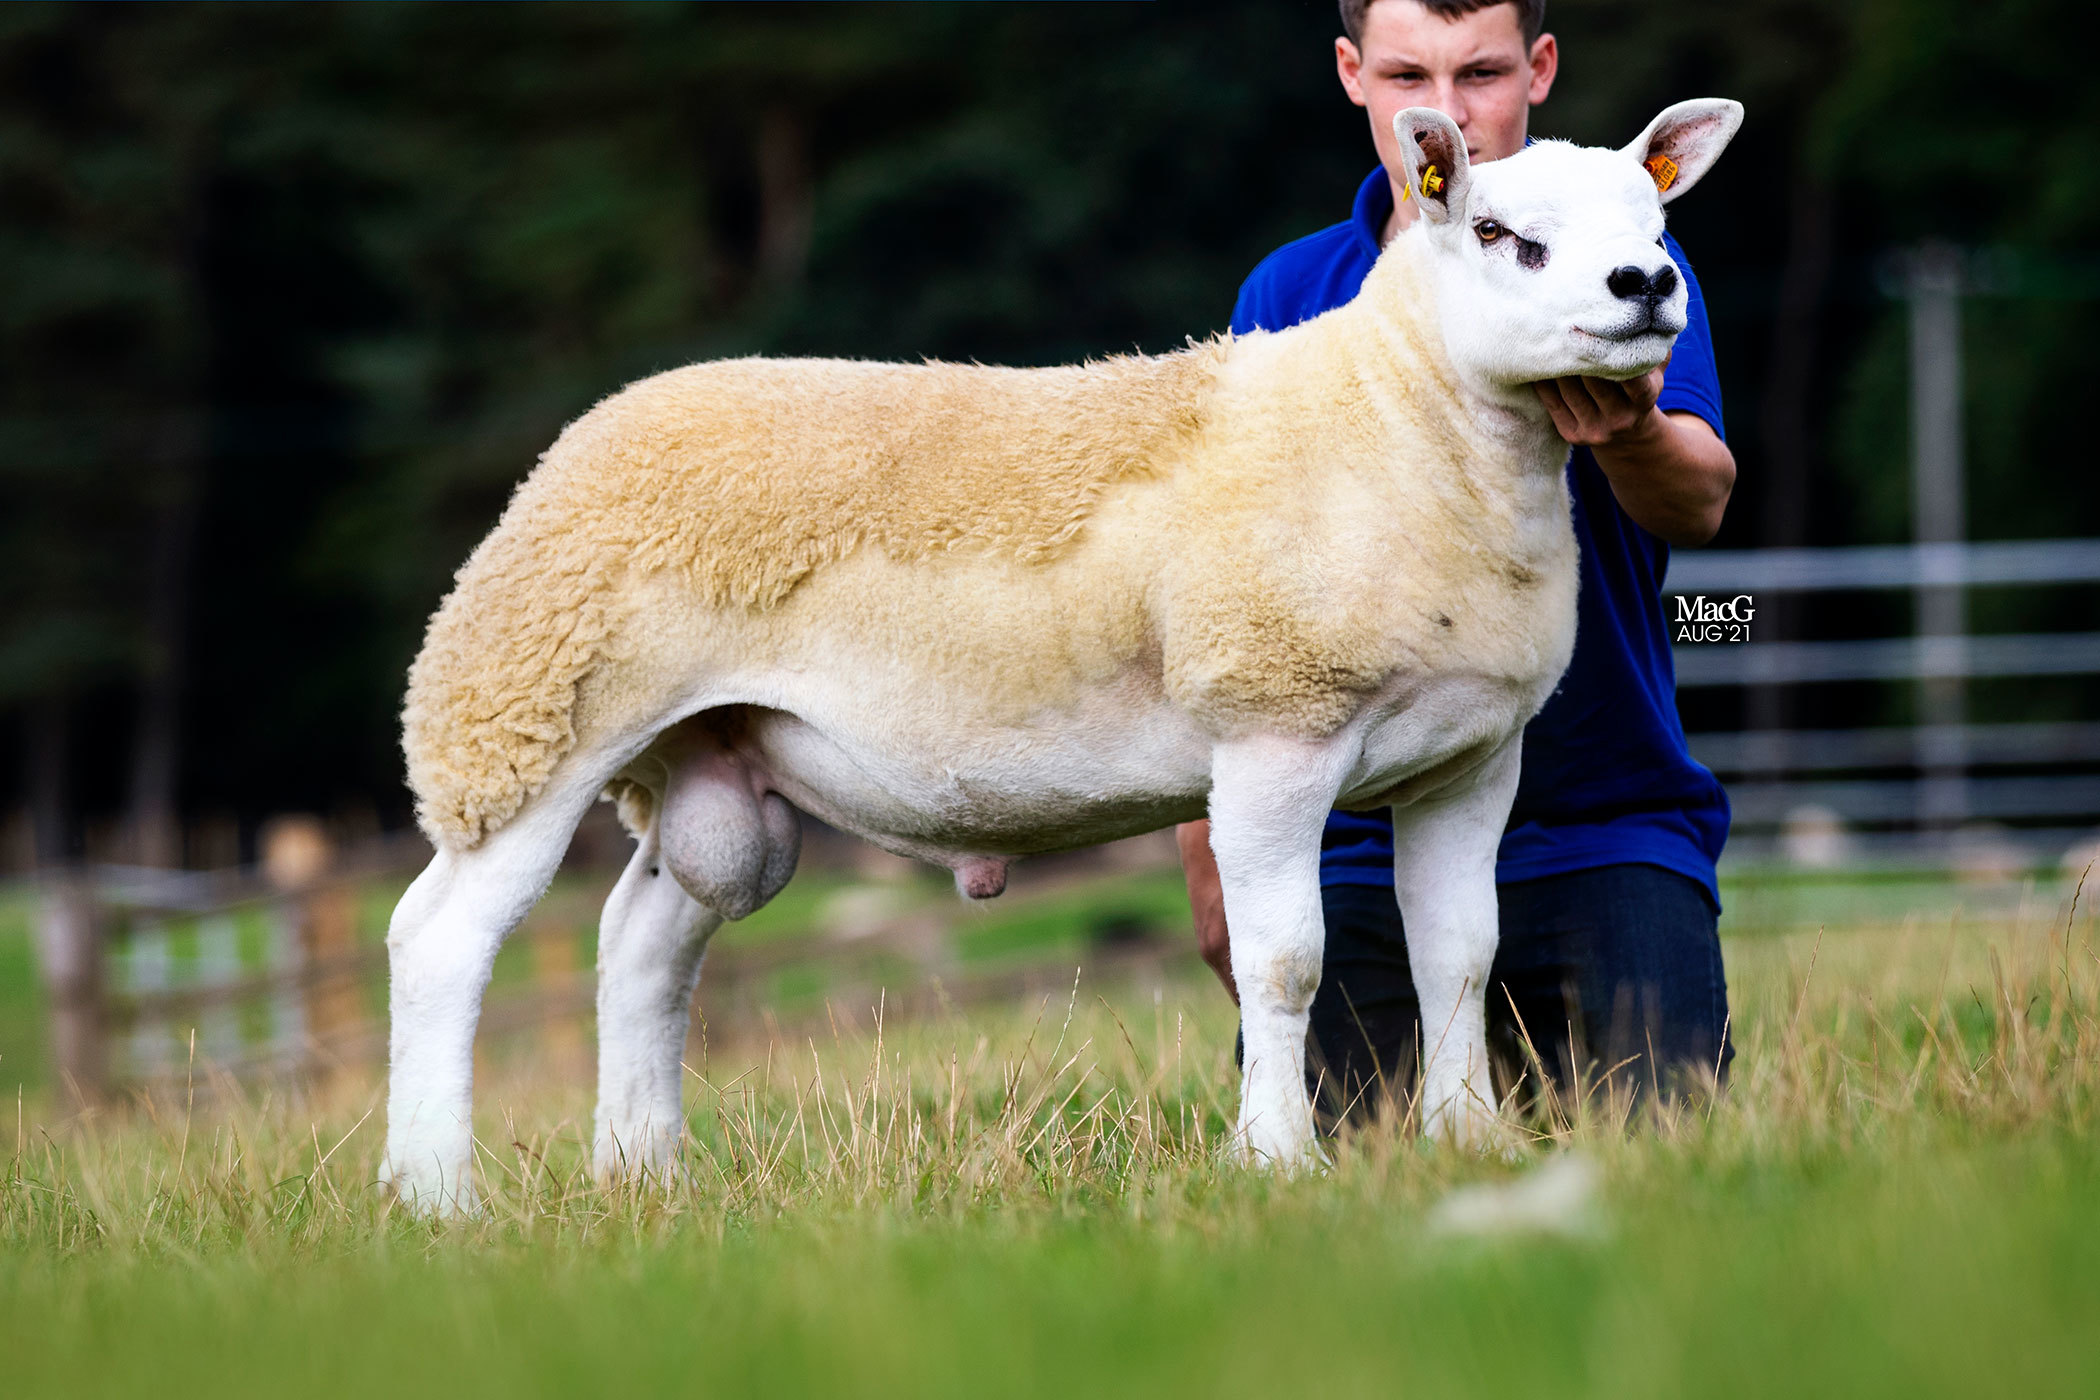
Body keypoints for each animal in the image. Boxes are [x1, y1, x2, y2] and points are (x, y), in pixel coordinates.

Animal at [377, 101, 1738, 1217]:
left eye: (1657, 217)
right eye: (1502, 232)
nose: (1645, 284)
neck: (1399, 421)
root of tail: (588, 434)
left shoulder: (1471, 757)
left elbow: (1460, 956)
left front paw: (1472, 1147)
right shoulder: (1272, 724)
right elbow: (1284, 961)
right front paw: (1278, 1159)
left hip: (708, 758)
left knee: (642, 944)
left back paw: (643, 1180)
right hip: (528, 710)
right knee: (440, 939)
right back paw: (438, 1197)